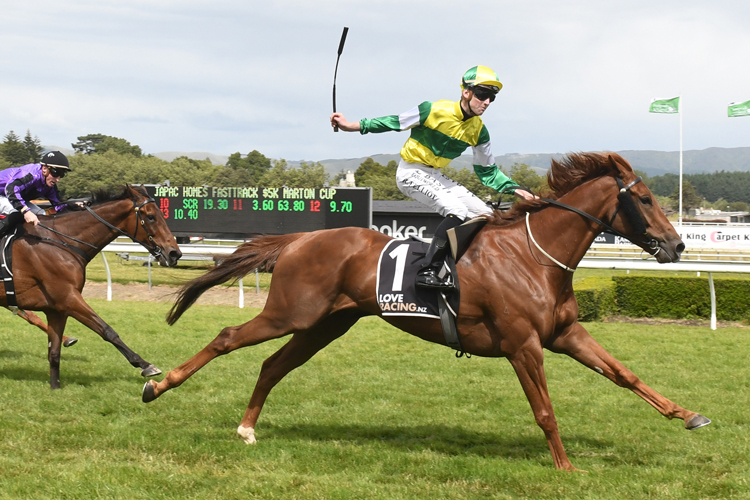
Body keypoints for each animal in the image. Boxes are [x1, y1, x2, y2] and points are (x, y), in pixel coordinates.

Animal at [0, 186, 182, 388]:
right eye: (150, 216)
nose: (175, 253)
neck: (60, 241)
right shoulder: (69, 298)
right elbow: (107, 330)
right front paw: (145, 365)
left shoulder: (56, 309)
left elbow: (54, 351)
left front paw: (55, 386)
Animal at [145, 151, 712, 468]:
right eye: (644, 199)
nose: (677, 245)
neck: (533, 255)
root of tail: (301, 237)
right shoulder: (523, 344)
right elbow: (546, 411)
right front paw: (566, 467)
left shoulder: (565, 334)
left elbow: (625, 375)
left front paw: (689, 415)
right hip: (292, 312)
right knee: (227, 336)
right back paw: (157, 385)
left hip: (325, 324)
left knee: (272, 364)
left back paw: (247, 427)